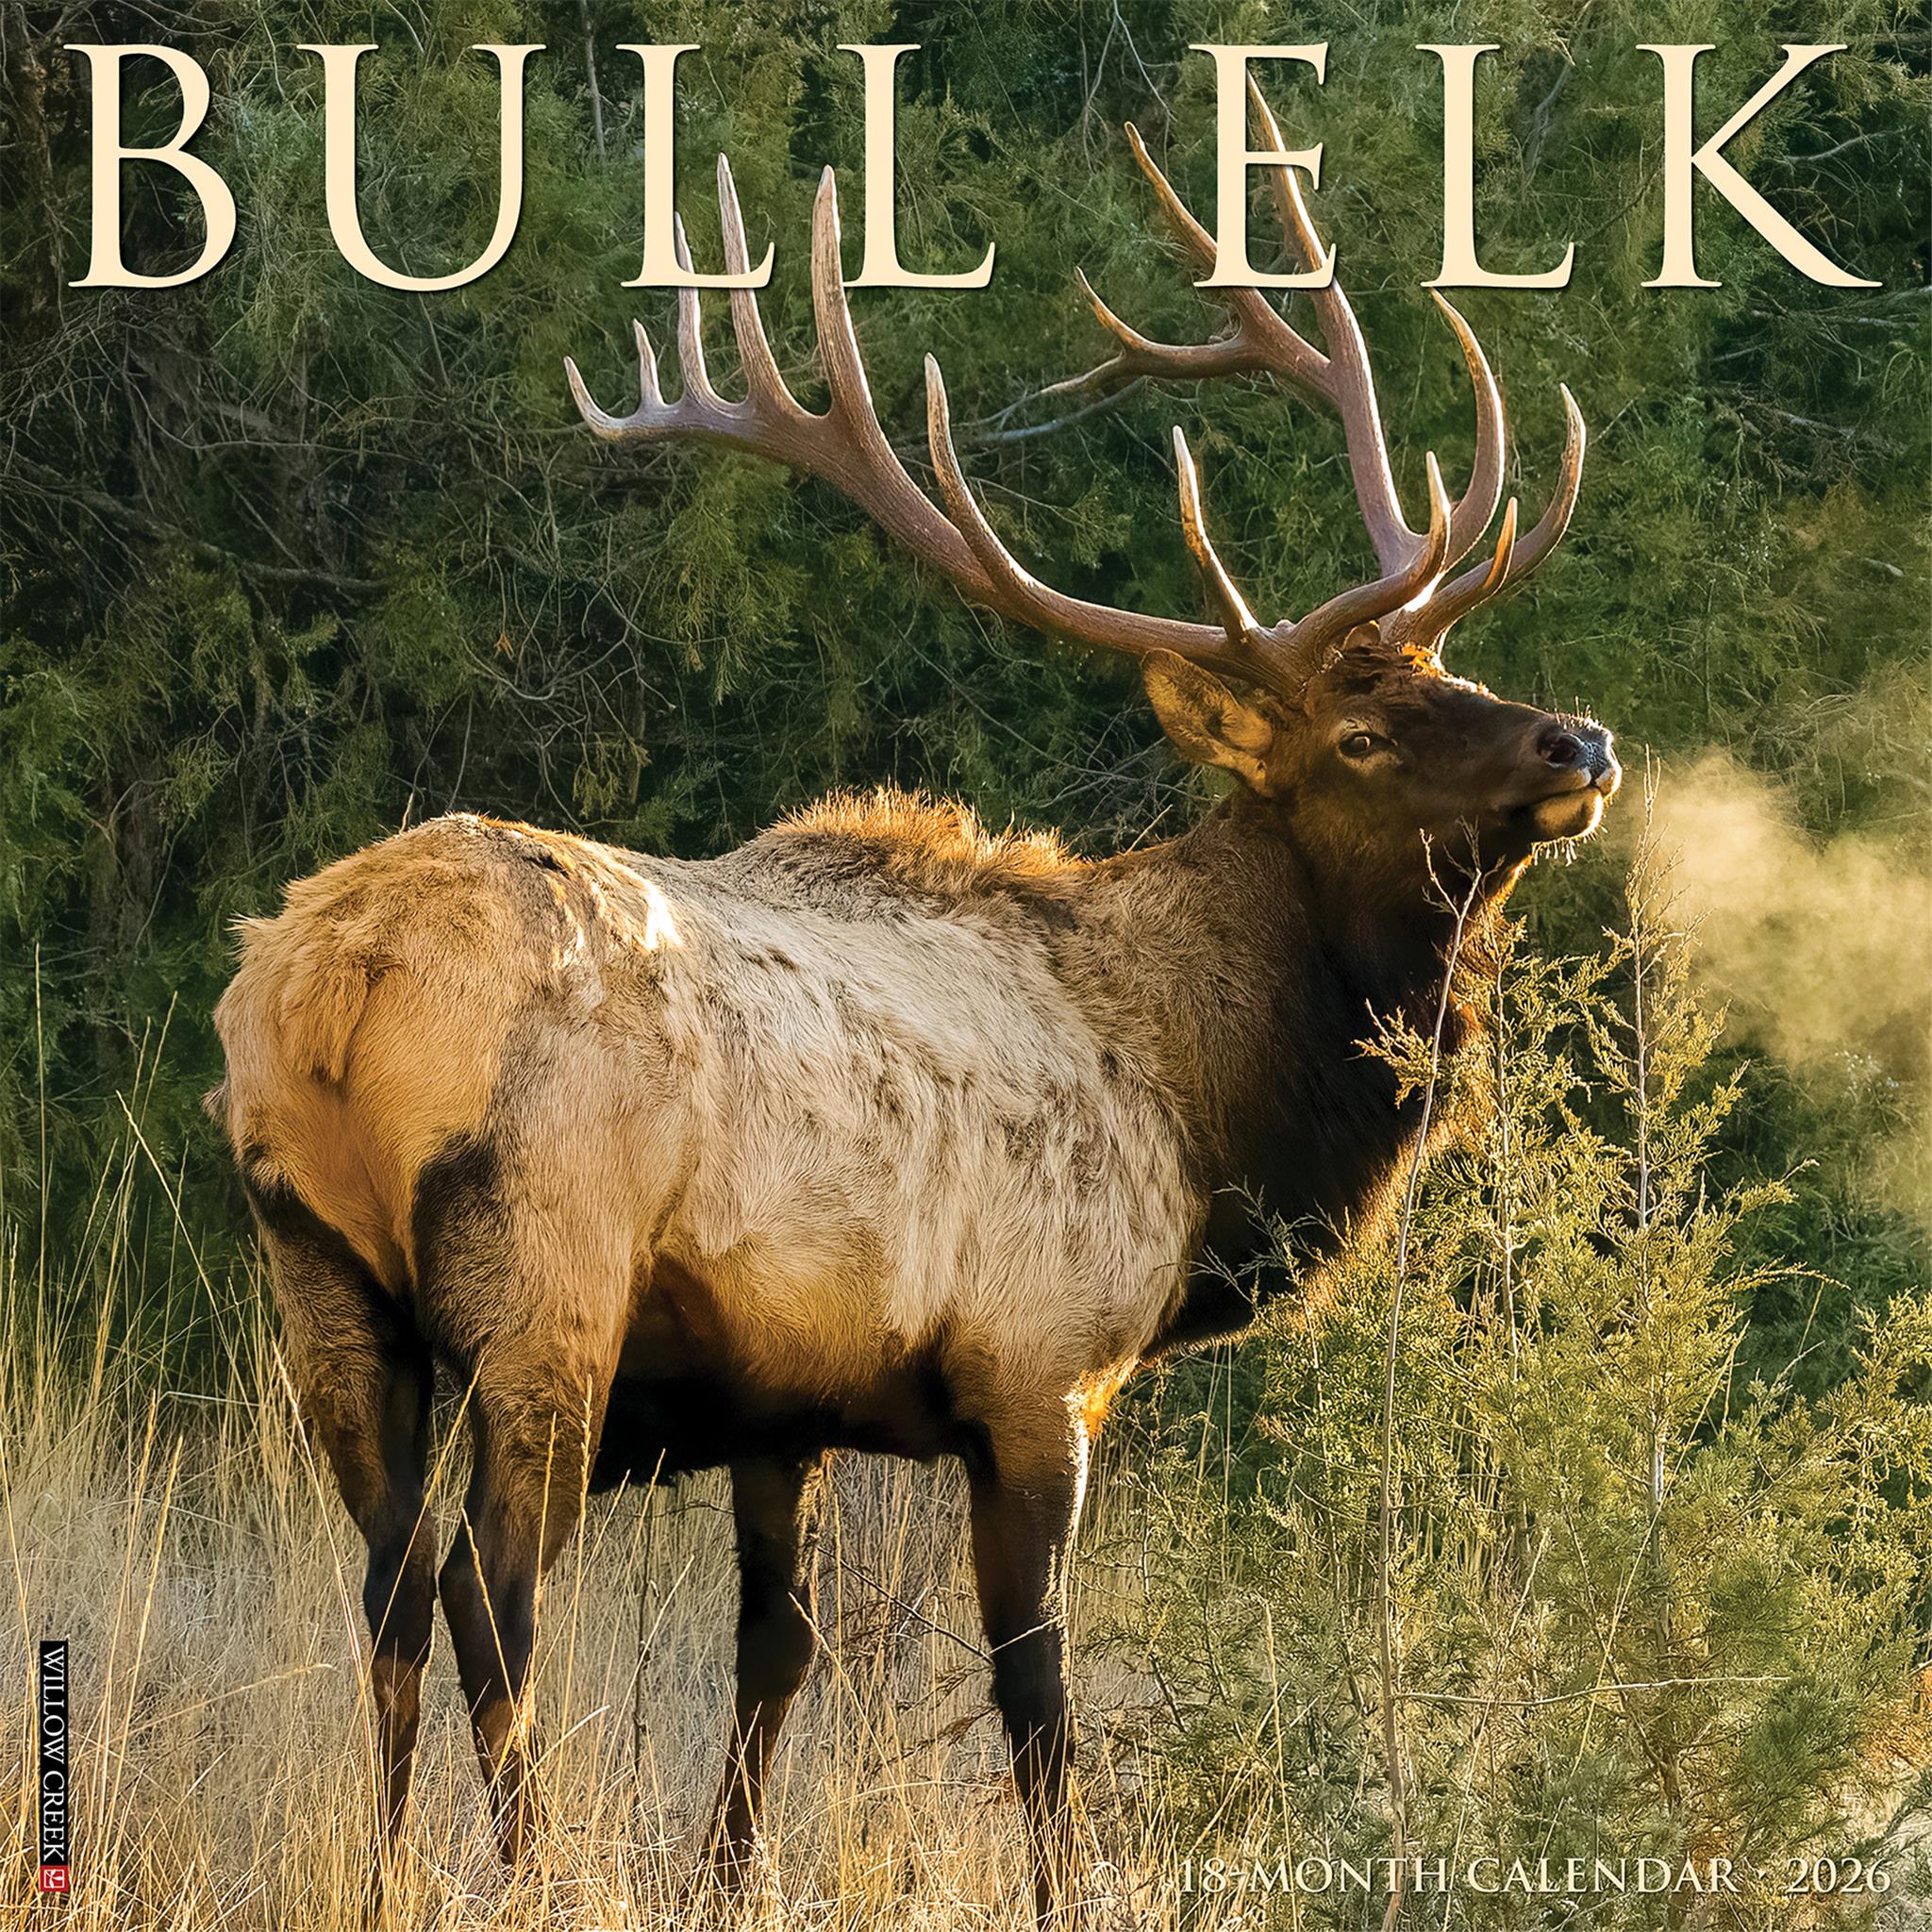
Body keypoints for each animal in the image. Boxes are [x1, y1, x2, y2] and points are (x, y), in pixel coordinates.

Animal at [210, 80, 1618, 1927]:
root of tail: (334, 984)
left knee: (381, 1593)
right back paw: (527, 1872)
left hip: (318, 1278)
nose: (1579, 741)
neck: (1205, 1106)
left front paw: (725, 1878)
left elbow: (777, 1657)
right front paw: (1069, 1883)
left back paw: (379, 1878)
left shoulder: (780, 1401)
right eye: (1364, 734)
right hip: (545, 1281)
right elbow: (1036, 1692)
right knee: (487, 1602)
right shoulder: (1040, 1365)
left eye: (1458, 671)